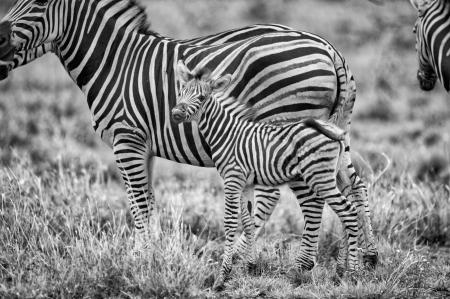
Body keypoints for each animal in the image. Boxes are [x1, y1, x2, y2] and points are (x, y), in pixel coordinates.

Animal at [0, 0, 378, 268]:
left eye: (38, 2)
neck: (114, 62)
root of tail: (330, 50)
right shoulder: (144, 146)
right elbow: (147, 200)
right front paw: (148, 254)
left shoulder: (126, 139)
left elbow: (138, 203)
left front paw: (140, 259)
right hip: (332, 133)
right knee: (354, 185)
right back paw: (364, 258)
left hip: (289, 129)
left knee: (306, 197)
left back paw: (293, 263)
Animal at [171, 62, 360, 292]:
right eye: (181, 92)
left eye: (201, 97)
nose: (176, 113)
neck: (226, 134)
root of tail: (331, 129)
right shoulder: (246, 184)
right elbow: (248, 221)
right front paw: (251, 266)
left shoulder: (232, 180)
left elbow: (230, 223)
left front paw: (222, 278)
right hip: (329, 175)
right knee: (347, 209)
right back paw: (341, 272)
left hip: (320, 178)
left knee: (349, 211)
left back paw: (353, 273)